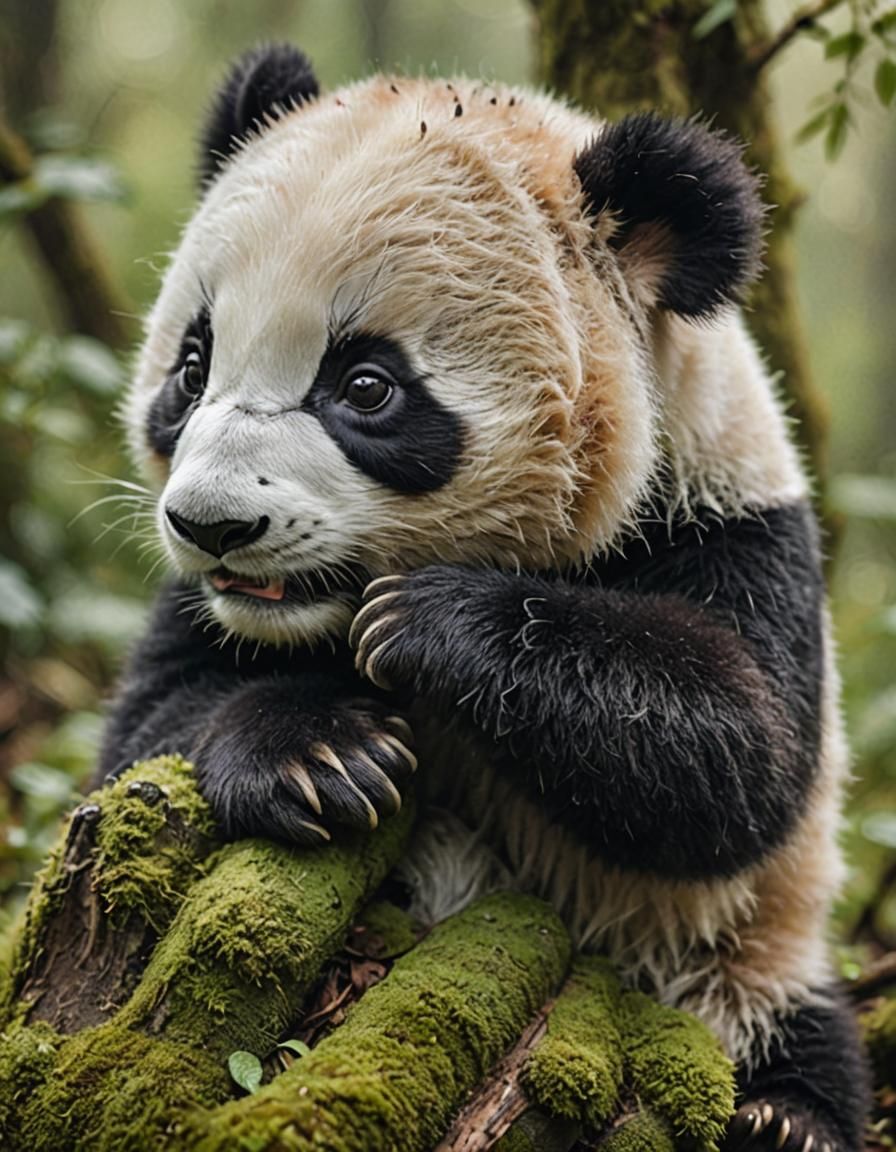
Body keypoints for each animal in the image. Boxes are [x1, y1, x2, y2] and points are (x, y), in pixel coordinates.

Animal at [98, 44, 868, 1152]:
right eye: (191, 368)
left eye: (366, 386)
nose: (211, 525)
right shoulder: (208, 615)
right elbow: (149, 733)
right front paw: (323, 755)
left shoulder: (730, 522)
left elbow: (739, 757)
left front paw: (431, 624)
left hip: (742, 961)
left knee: (795, 1018)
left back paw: (783, 1116)